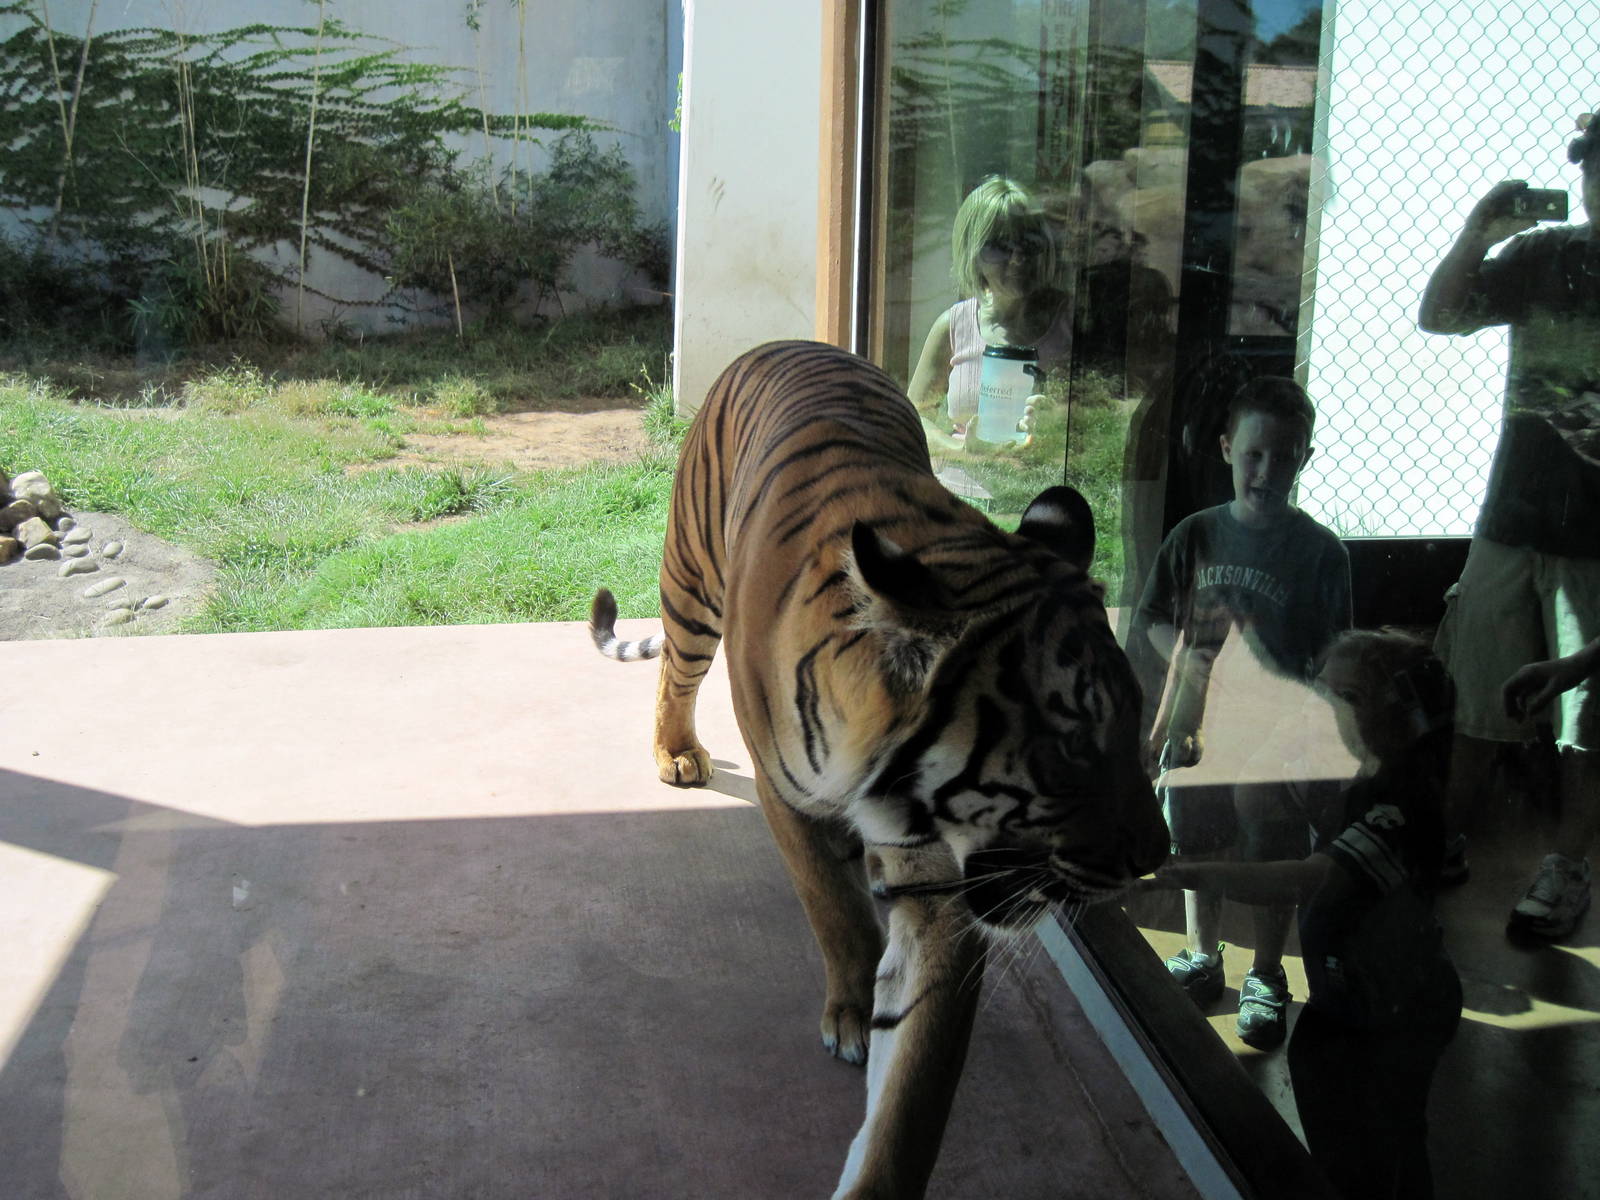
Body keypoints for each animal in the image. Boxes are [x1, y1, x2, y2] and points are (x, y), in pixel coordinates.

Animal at [588, 340, 1167, 1200]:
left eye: (1134, 723)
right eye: (1070, 747)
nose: (1157, 857)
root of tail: (789, 343)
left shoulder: (942, 886)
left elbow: (912, 1096)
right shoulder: (783, 791)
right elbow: (832, 909)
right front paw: (853, 1012)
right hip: (691, 588)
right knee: (674, 673)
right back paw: (676, 753)